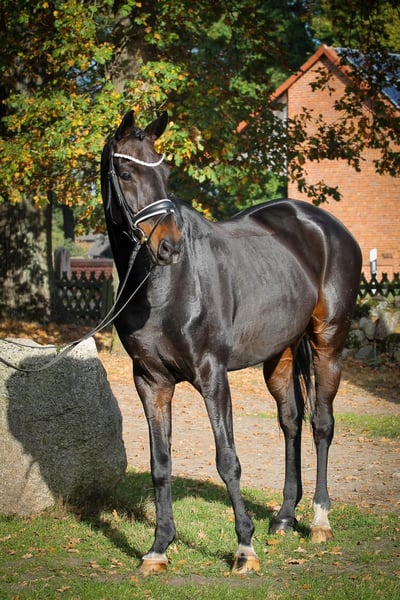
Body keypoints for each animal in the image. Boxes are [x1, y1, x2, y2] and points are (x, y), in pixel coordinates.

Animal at [101, 110, 362, 575]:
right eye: (127, 173)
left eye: (165, 174)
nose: (169, 246)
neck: (164, 287)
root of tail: (325, 225)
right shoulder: (150, 382)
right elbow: (160, 463)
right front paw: (158, 548)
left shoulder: (212, 375)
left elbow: (228, 460)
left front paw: (244, 547)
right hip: (279, 356)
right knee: (291, 422)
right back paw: (284, 517)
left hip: (329, 345)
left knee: (322, 424)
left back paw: (319, 520)